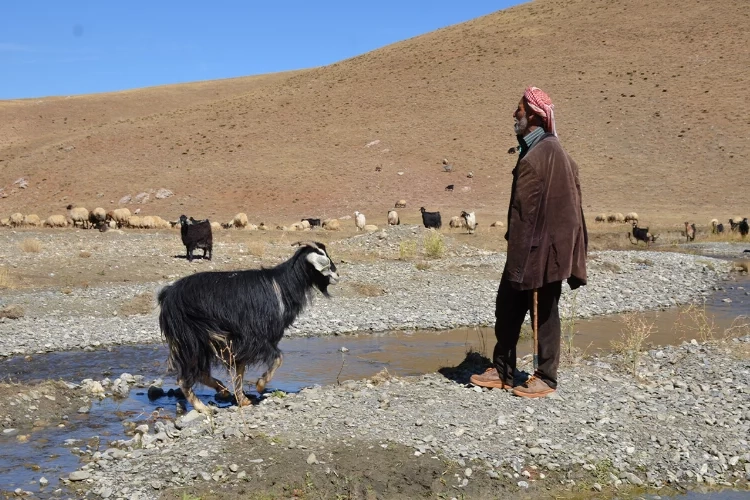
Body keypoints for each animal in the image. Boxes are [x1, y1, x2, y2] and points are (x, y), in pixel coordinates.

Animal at [157, 240, 340, 412]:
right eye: (324, 256)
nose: (337, 275)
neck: (281, 287)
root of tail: (168, 295)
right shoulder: (256, 338)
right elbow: (277, 358)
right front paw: (260, 385)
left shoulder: (241, 342)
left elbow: (240, 369)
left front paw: (243, 399)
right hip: (192, 339)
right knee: (184, 377)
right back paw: (203, 408)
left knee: (198, 372)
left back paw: (222, 390)